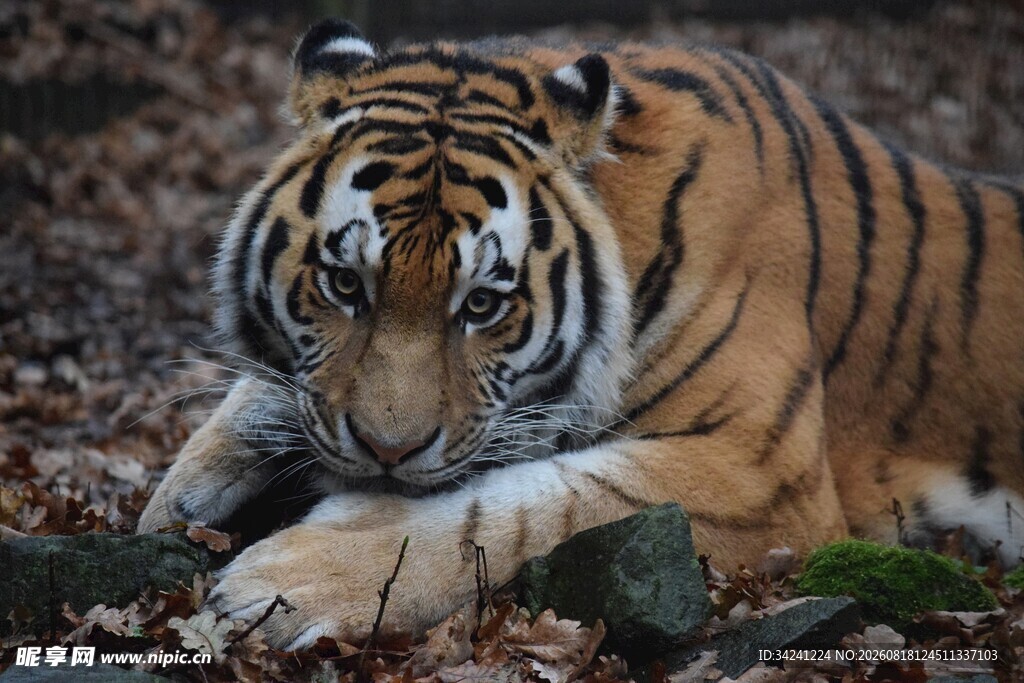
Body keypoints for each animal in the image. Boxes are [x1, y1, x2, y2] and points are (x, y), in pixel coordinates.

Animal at [137, 19, 1024, 650]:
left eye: (482, 304)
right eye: (345, 284)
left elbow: (527, 509)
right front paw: (173, 501)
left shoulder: (763, 472)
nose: (388, 450)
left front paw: (289, 576)